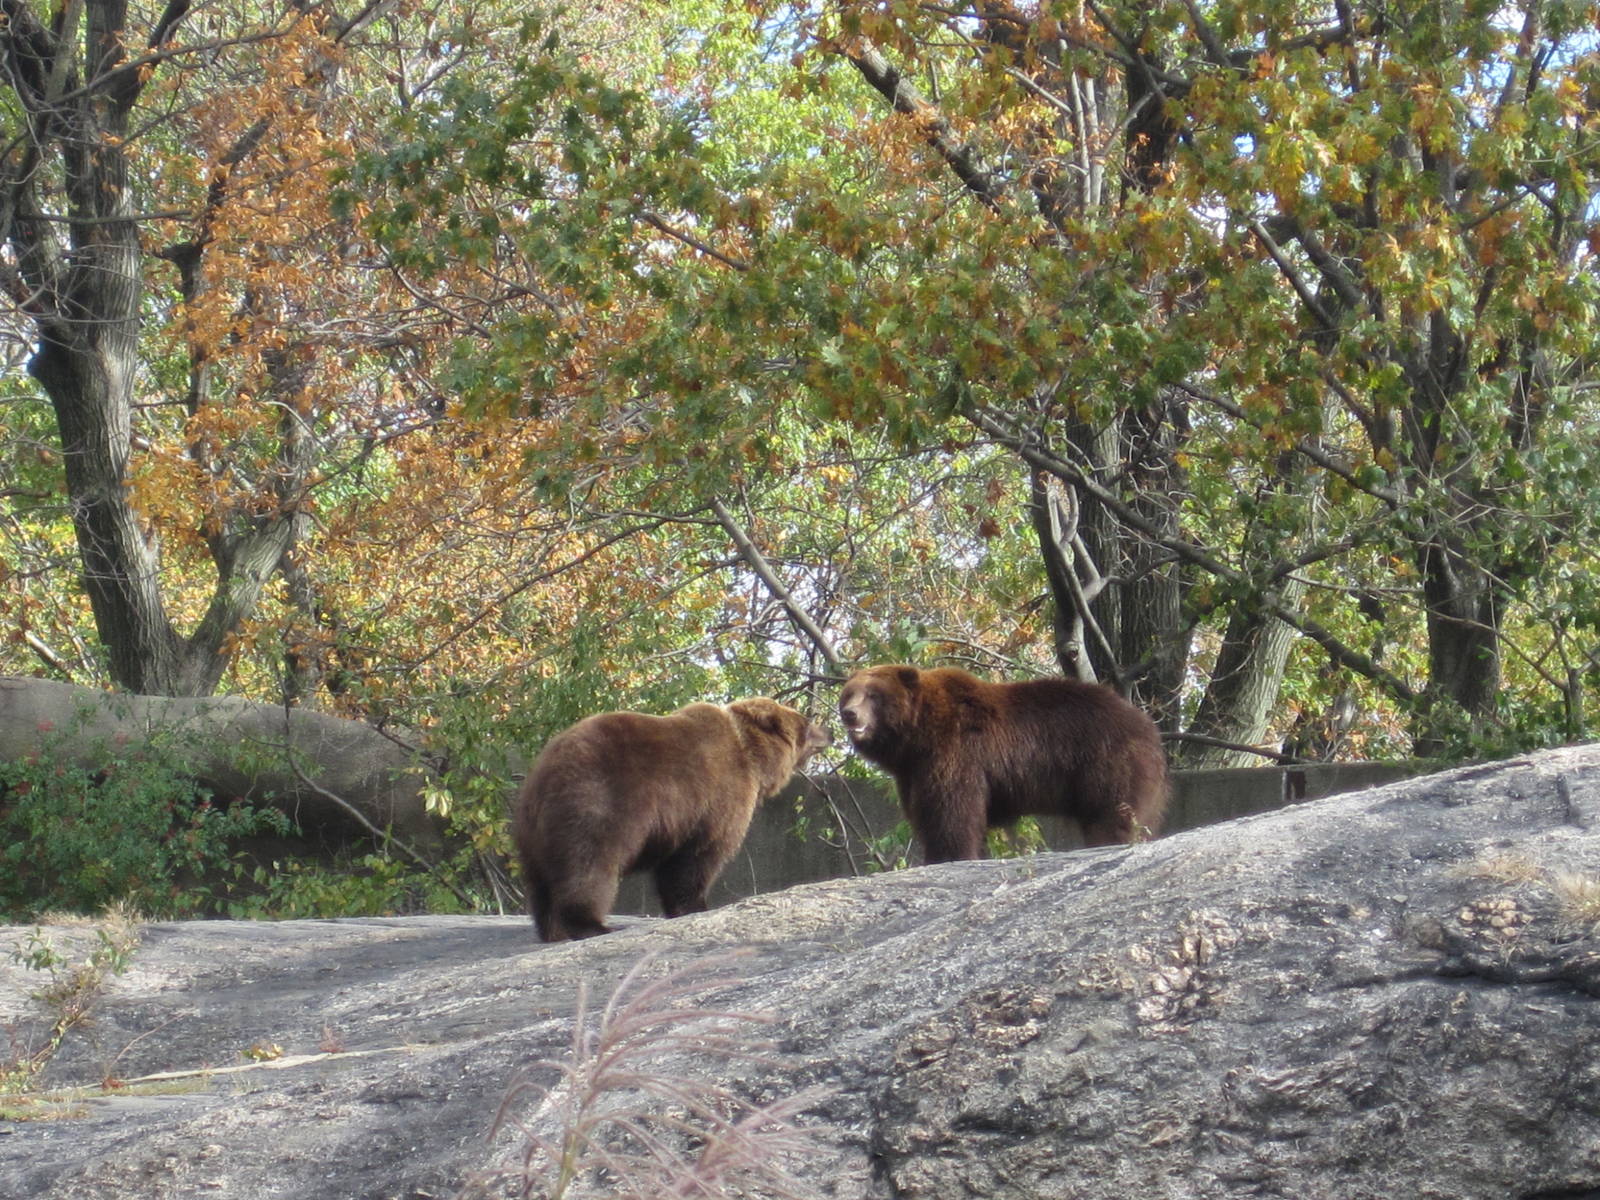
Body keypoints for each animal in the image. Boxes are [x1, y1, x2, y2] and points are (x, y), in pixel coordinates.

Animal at [512, 697, 831, 942]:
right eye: (806, 723)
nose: (829, 732)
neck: (754, 758)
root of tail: (544, 773)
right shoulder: (714, 798)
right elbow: (697, 858)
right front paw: (696, 905)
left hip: (532, 831)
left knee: (541, 883)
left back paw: (552, 931)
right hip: (596, 801)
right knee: (589, 866)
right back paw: (593, 925)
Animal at [837, 665, 1167, 862]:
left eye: (873, 695)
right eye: (849, 694)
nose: (850, 714)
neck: (917, 736)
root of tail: (1148, 726)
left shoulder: (956, 752)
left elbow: (951, 813)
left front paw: (950, 855)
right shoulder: (912, 772)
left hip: (1108, 759)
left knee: (1114, 809)